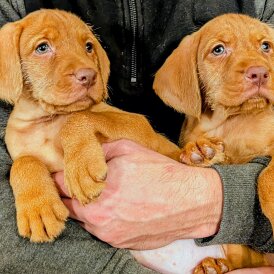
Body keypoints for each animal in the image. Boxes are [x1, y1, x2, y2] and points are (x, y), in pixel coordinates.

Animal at [0, 9, 181, 244]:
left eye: (88, 46)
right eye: (42, 47)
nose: (89, 76)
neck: (48, 118)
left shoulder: (142, 128)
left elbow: (79, 118)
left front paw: (81, 168)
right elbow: (23, 162)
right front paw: (38, 209)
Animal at [153, 14, 274, 274]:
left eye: (265, 46)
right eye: (218, 49)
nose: (260, 73)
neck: (228, 122)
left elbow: (265, 177)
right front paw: (200, 151)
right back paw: (216, 265)